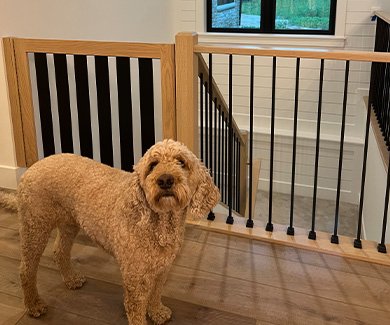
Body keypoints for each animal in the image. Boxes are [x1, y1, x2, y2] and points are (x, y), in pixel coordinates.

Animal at [2, 139, 219, 324]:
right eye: (153, 165)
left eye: (181, 162)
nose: (165, 180)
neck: (159, 224)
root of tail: (31, 168)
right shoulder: (135, 278)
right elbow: (136, 312)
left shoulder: (162, 268)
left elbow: (156, 293)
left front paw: (157, 312)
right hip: (35, 227)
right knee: (26, 270)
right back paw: (34, 305)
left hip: (69, 224)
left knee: (59, 251)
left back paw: (71, 279)